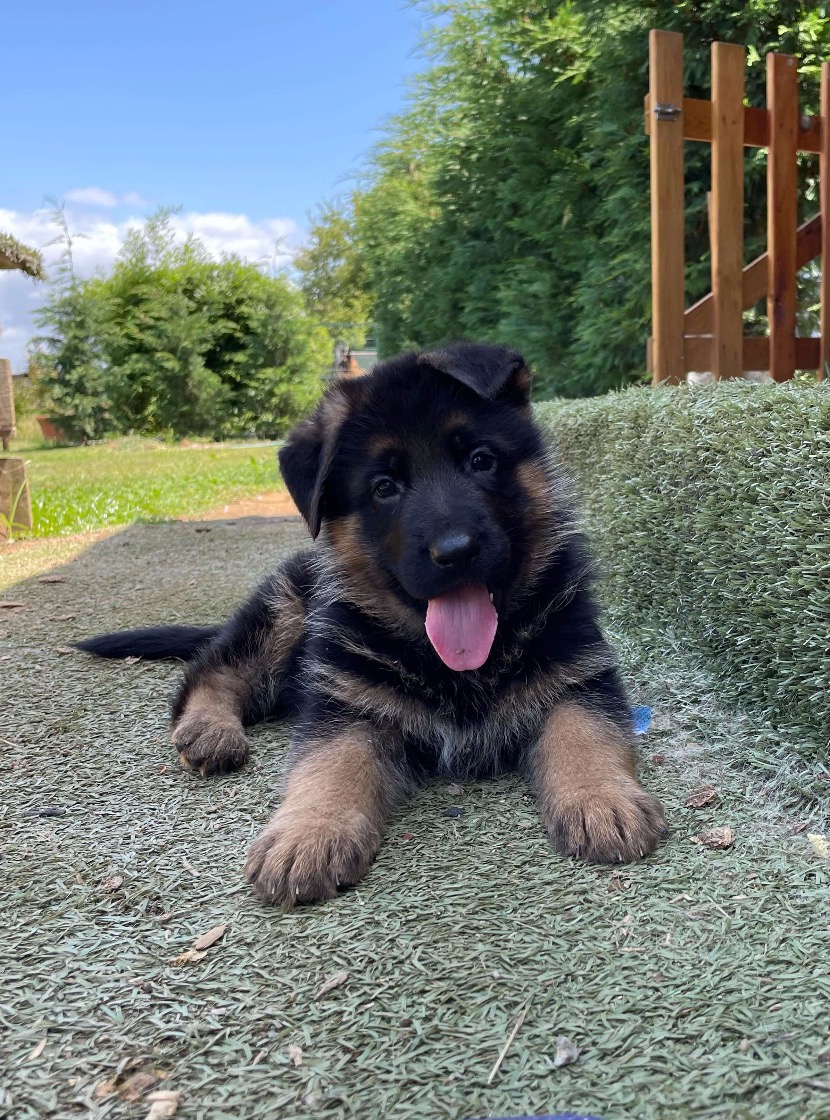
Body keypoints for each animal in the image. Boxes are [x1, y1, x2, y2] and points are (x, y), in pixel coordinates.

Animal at [81, 344, 667, 904]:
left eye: (481, 460)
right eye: (385, 487)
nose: (455, 552)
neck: (454, 666)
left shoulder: (579, 674)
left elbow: (586, 732)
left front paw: (602, 797)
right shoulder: (347, 702)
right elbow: (330, 764)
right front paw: (309, 833)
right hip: (285, 612)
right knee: (212, 670)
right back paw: (210, 728)